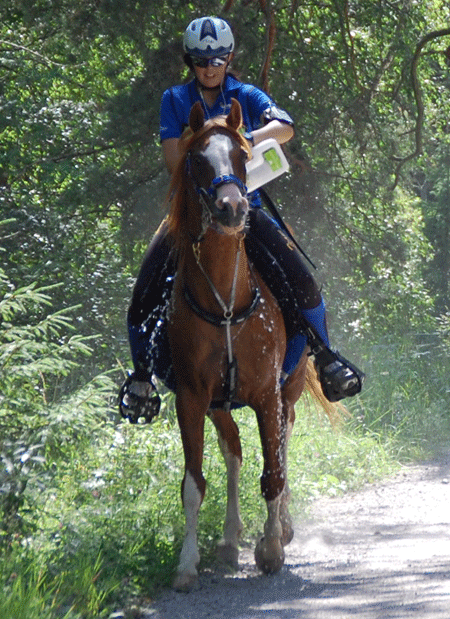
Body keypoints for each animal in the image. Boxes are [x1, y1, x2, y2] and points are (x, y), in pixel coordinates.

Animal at [165, 97, 334, 592]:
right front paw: (187, 565)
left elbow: (273, 472)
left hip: (288, 390)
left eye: (243, 154)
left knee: (282, 443)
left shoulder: (266, 393)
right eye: (197, 160)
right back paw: (228, 539)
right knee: (235, 454)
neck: (226, 300)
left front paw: (272, 548)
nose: (232, 207)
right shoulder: (192, 398)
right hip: (220, 404)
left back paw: (280, 527)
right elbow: (194, 484)